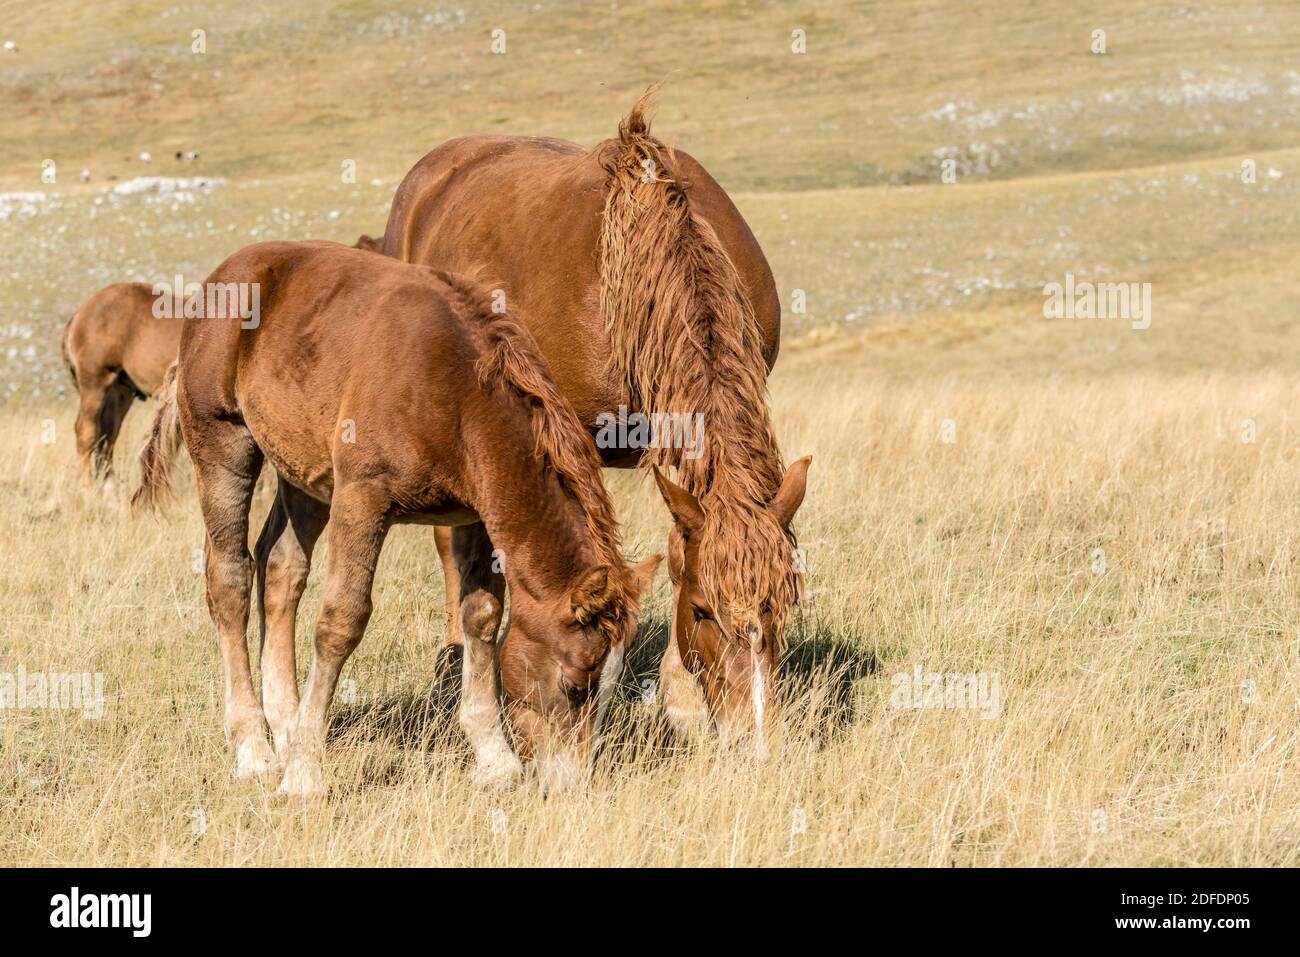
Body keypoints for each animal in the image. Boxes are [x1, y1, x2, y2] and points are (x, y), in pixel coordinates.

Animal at [62, 282, 181, 489]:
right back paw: (88, 488)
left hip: (119, 390)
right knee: (86, 432)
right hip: (95, 381)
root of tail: (78, 315)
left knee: (107, 433)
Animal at [132, 240, 661, 795]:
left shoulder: (473, 515)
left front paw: (494, 758)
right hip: (223, 443)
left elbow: (481, 616)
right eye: (574, 683)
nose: (569, 785)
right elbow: (341, 621)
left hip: (303, 472)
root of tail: (218, 279)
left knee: (280, 568)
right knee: (230, 578)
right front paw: (304, 773)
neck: (456, 394)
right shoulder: (362, 499)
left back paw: (286, 721)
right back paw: (254, 748)